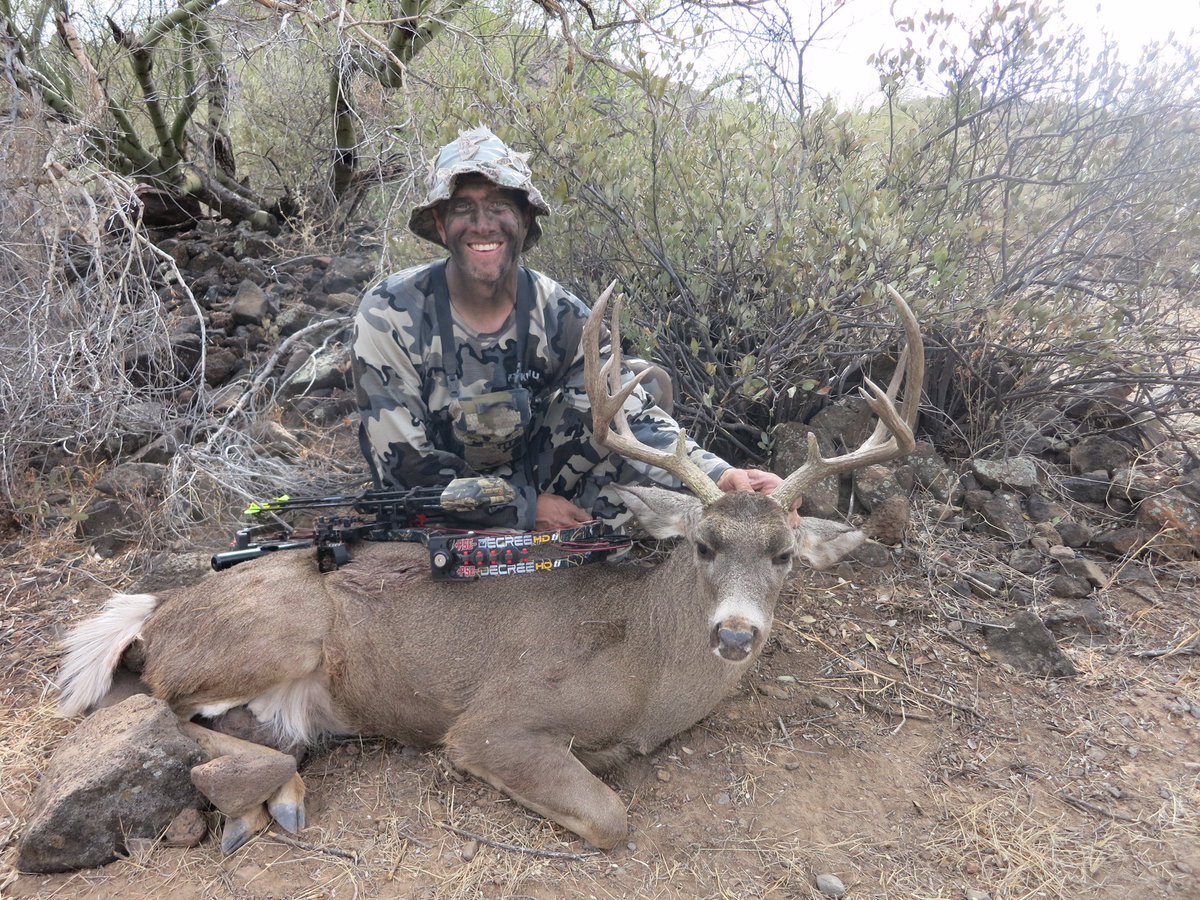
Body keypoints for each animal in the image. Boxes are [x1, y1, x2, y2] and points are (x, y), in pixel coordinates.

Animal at [56, 283, 923, 854]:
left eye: (784, 556)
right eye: (703, 545)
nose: (737, 636)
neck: (648, 672)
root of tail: (158, 611)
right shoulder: (493, 722)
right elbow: (611, 817)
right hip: (278, 632)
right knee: (153, 700)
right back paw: (257, 806)